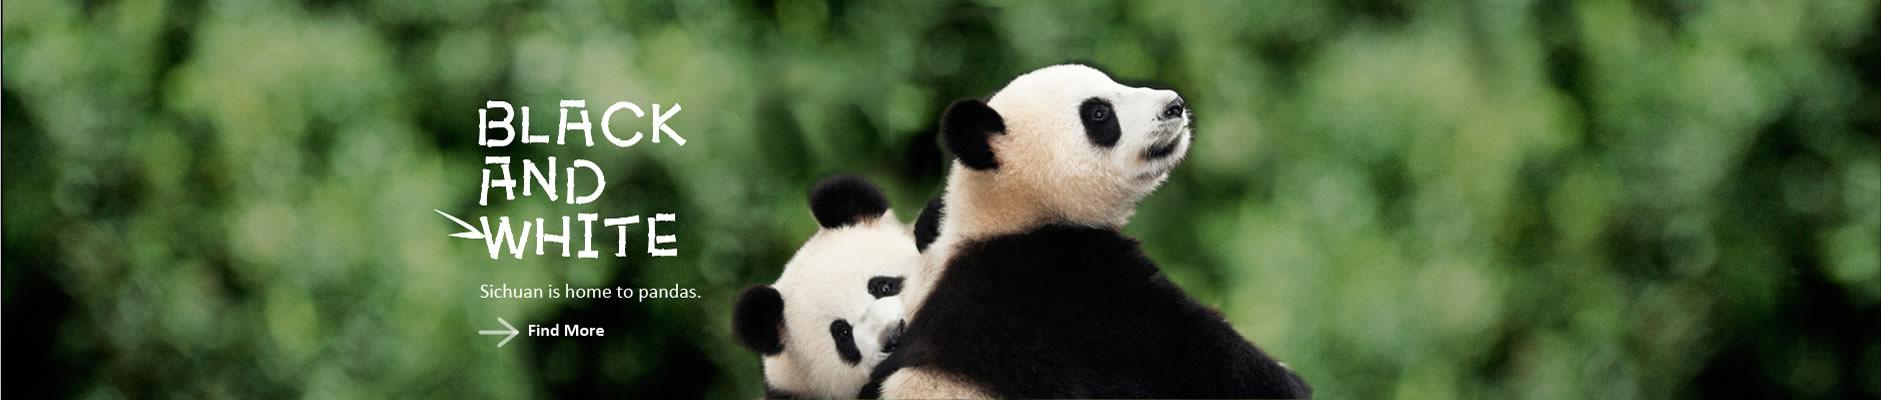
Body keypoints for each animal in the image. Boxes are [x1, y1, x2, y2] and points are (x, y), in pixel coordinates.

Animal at [867, 64, 1312, 398]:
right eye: (1099, 114)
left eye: (1114, 84)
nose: (1174, 105)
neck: (999, 215)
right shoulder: (1069, 286)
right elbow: (1200, 355)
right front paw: (1288, 381)